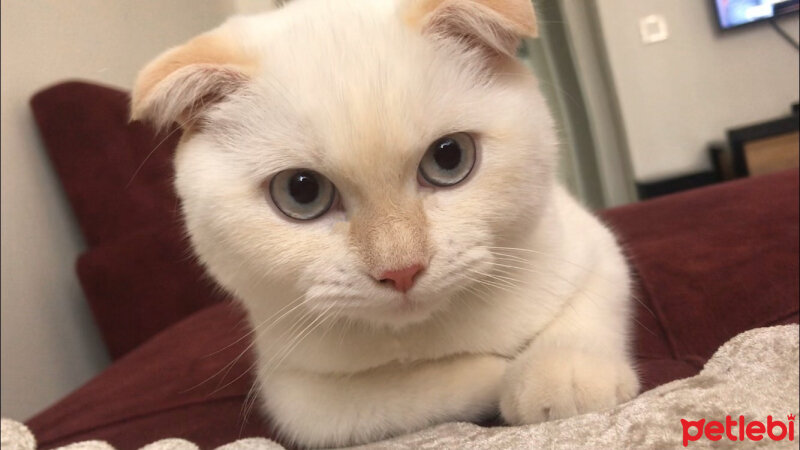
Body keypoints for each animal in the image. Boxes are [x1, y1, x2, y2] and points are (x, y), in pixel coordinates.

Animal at [134, 0, 640, 444]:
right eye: (301, 192)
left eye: (449, 157)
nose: (401, 270)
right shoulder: (296, 393)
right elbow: (409, 391)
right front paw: (499, 370)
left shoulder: (592, 244)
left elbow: (585, 309)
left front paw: (564, 375)